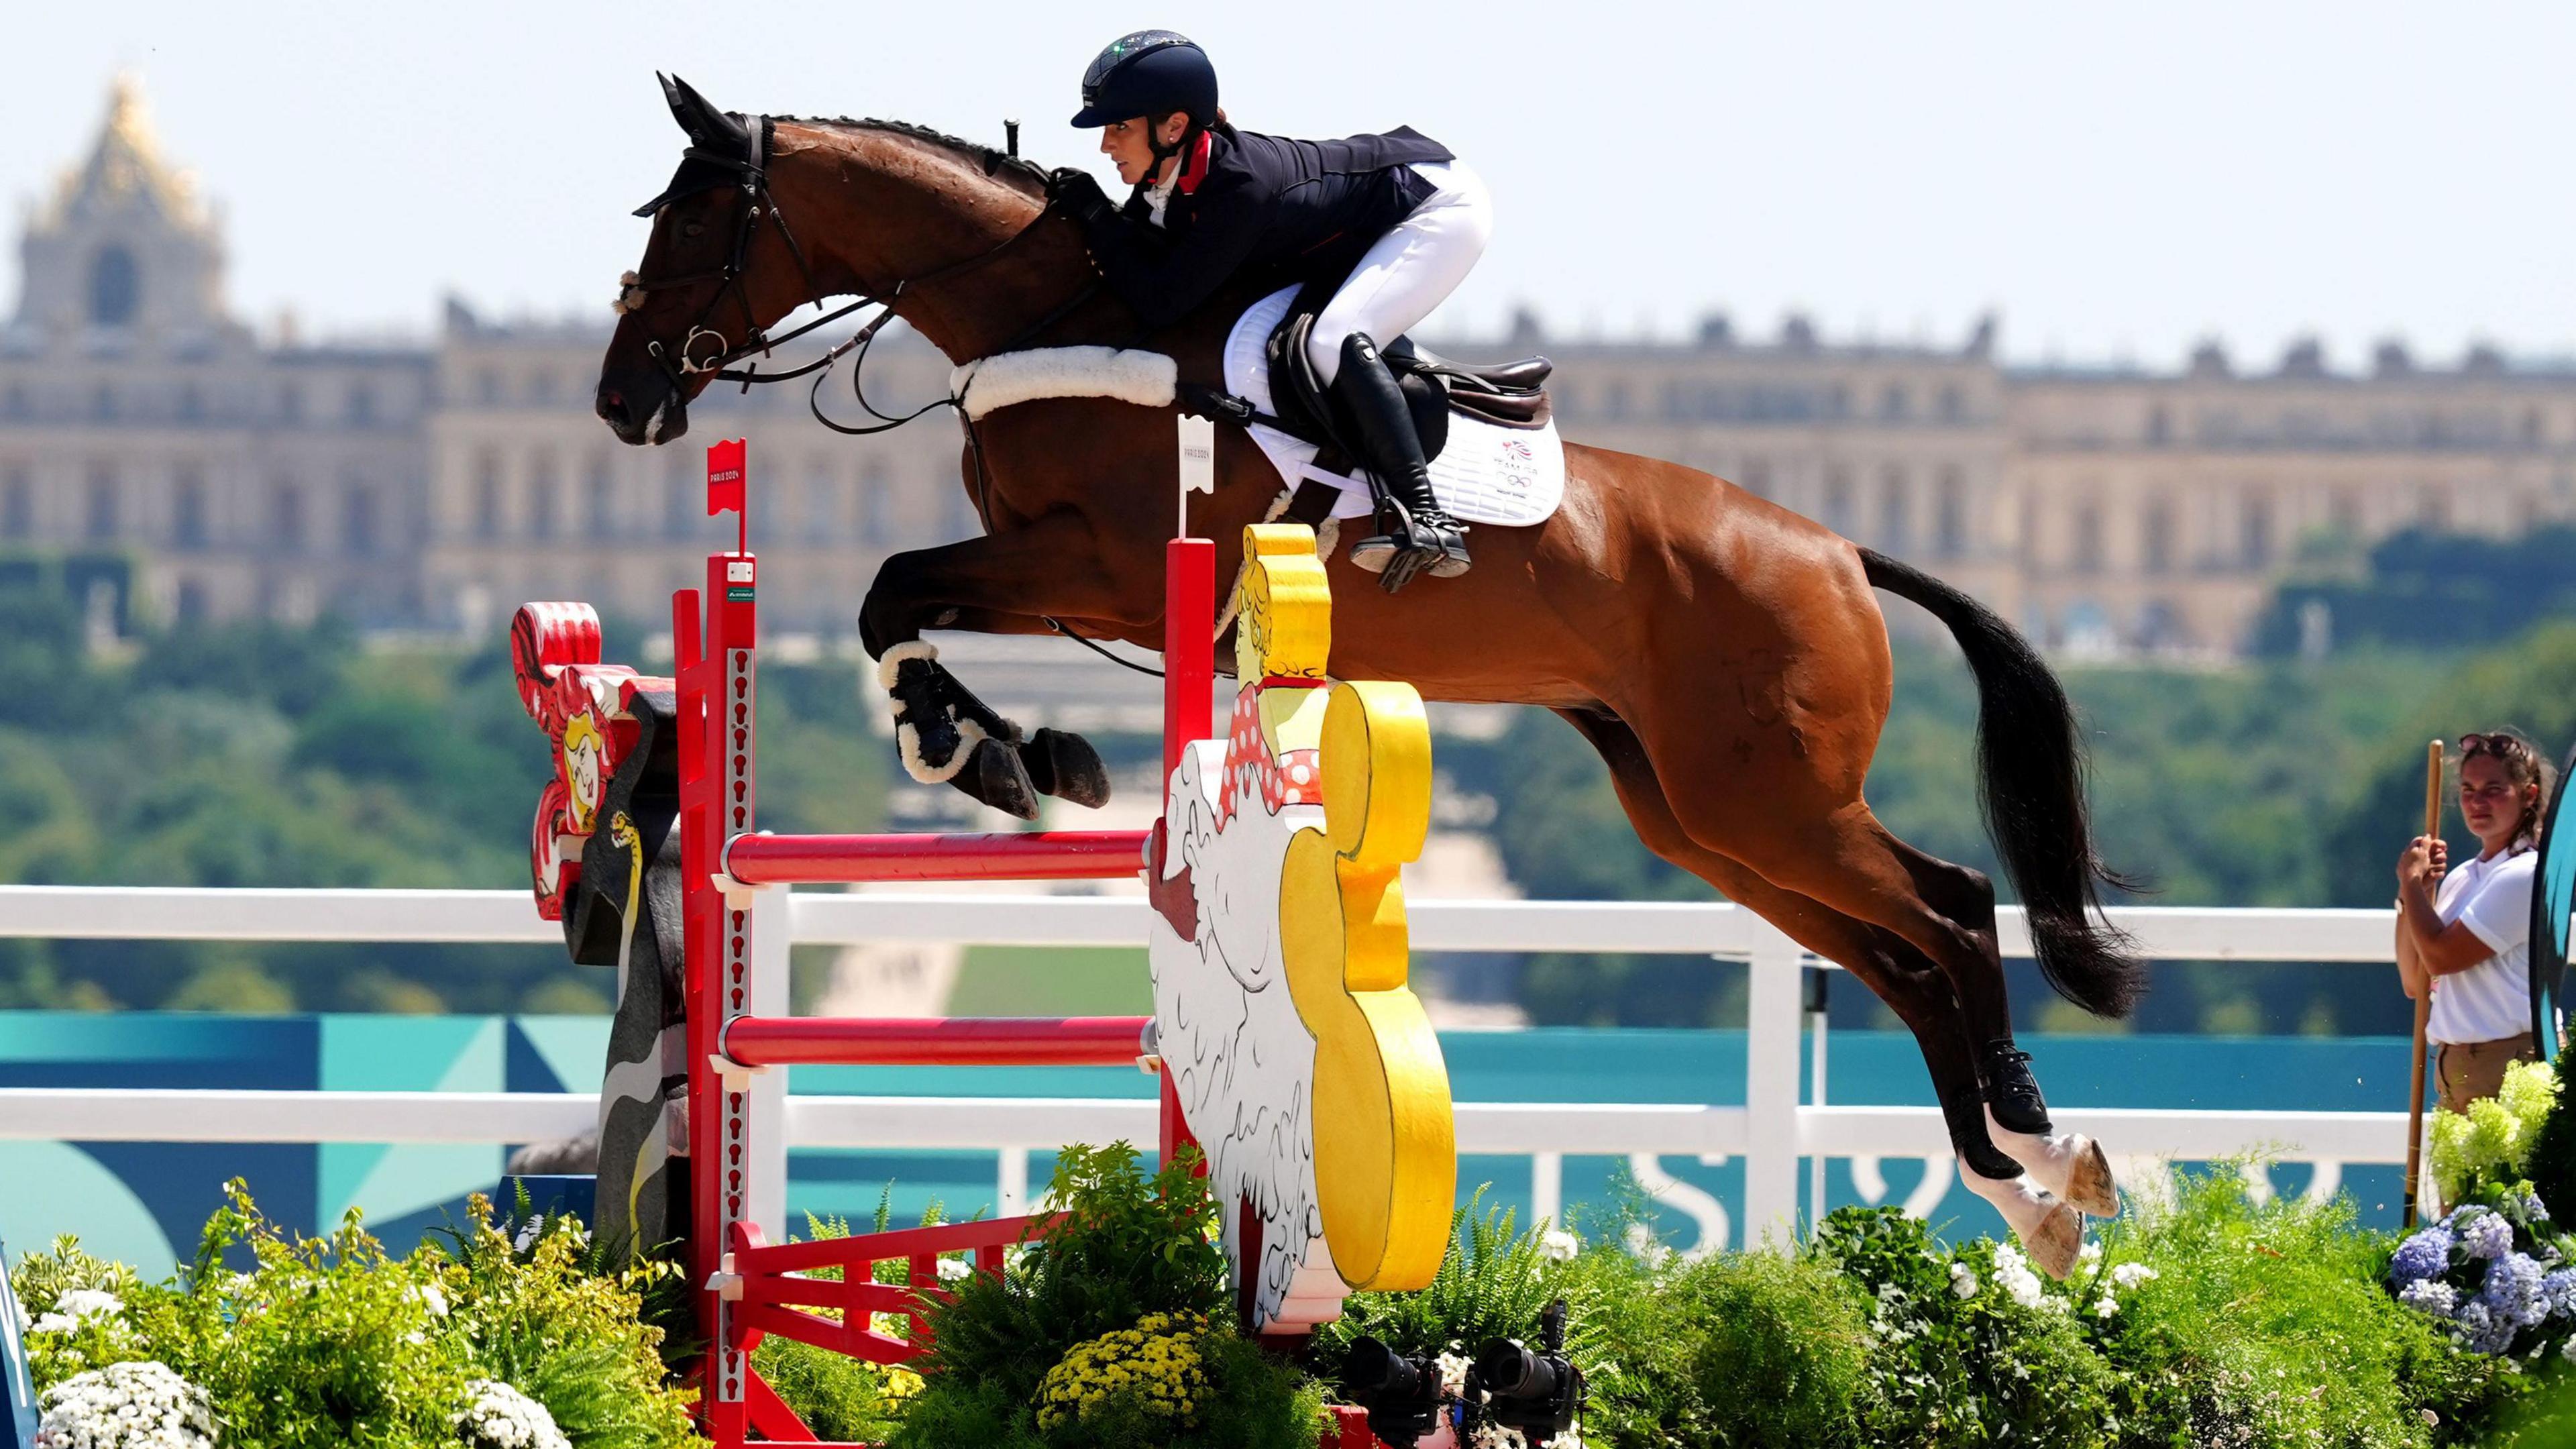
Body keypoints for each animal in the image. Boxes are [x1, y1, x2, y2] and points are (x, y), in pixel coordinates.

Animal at [597, 78, 2133, 1268]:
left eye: (690, 223)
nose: (621, 400)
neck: (1054, 315)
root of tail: (1834, 550)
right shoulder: (1055, 579)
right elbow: (892, 599)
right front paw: (1010, 751)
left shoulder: (1095, 565)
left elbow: (890, 587)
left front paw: (990, 751)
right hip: (1699, 815)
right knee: (1899, 955)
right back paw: (2028, 1193)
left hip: (1770, 798)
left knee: (1951, 911)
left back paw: (2039, 1140)